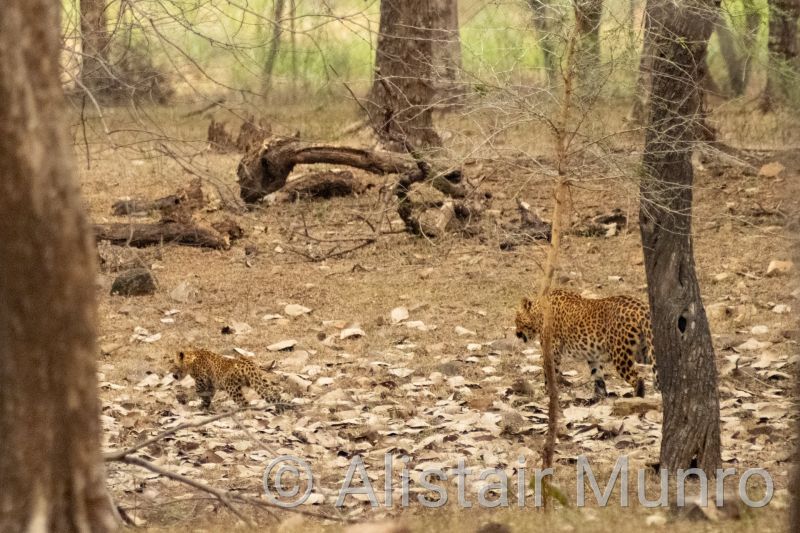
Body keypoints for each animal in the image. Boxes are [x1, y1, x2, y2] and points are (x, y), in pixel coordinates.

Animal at [514, 289, 658, 399]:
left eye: (516, 319)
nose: (516, 333)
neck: (538, 313)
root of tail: (641, 307)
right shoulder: (593, 356)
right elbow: (597, 375)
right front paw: (599, 397)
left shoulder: (552, 352)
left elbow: (549, 373)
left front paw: (548, 393)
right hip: (644, 350)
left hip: (621, 355)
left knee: (637, 378)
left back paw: (637, 397)